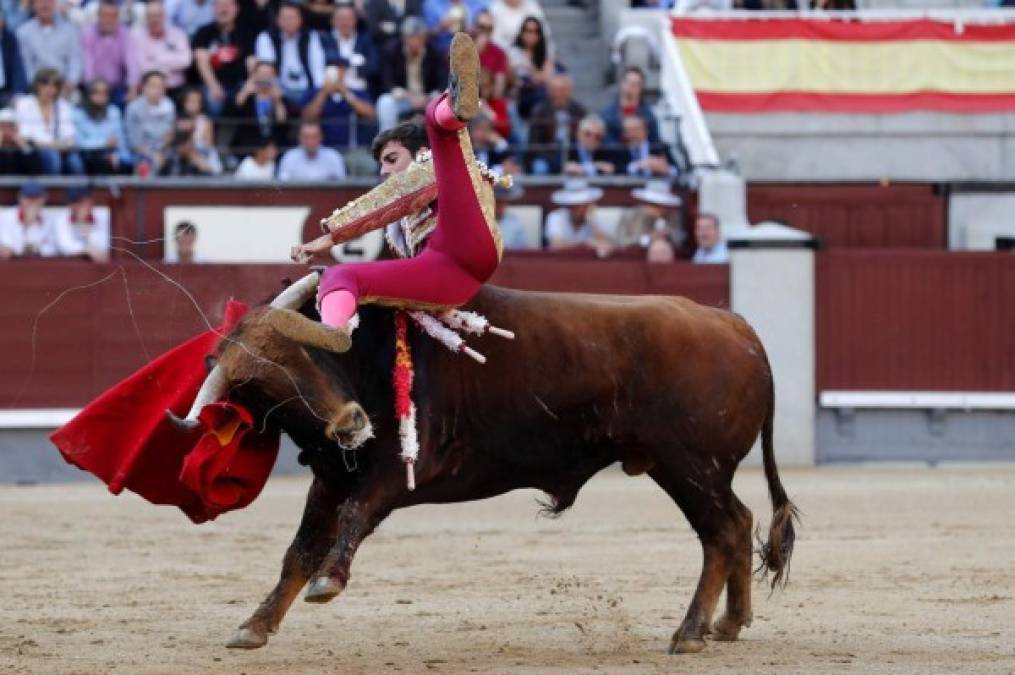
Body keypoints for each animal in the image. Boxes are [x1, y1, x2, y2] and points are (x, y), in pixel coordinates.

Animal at [178, 282, 795, 653]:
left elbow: (353, 517)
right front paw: (254, 626)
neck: (370, 361)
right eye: (263, 392)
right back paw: (727, 624)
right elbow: (299, 551)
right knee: (738, 525)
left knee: (722, 531)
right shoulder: (330, 476)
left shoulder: (402, 468)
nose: (351, 423)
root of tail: (736, 326)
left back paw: (690, 632)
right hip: (701, 471)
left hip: (689, 467)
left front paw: (329, 582)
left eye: (306, 355)